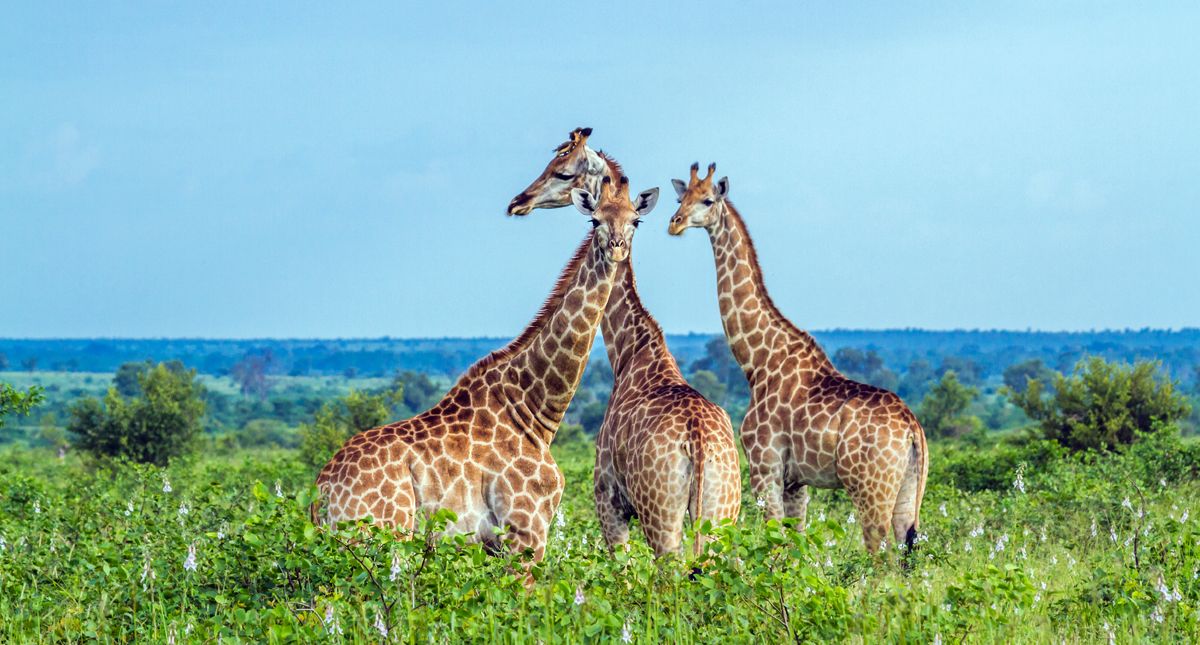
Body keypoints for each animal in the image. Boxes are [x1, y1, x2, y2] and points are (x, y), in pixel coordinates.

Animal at [314, 170, 662, 561]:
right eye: (595, 220)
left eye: (636, 221)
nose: (616, 247)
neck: (533, 409)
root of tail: (321, 492)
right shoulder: (526, 530)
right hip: (378, 535)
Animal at [504, 129, 739, 551]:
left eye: (563, 172)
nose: (519, 202)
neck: (631, 351)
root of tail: (697, 442)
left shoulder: (608, 501)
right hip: (723, 513)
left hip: (661, 518)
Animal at [667, 163, 926, 549]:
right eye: (680, 197)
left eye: (707, 200)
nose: (675, 223)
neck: (758, 363)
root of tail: (912, 429)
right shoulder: (795, 480)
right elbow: (797, 544)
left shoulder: (765, 467)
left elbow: (776, 540)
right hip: (908, 489)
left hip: (869, 488)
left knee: (882, 552)